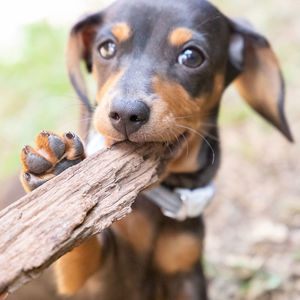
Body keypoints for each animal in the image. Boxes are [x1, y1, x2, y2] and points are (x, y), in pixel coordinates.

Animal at [17, 0, 292, 298]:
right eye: (106, 48)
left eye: (191, 56)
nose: (126, 114)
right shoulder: (89, 282)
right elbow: (76, 245)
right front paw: (57, 172)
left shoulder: (186, 272)